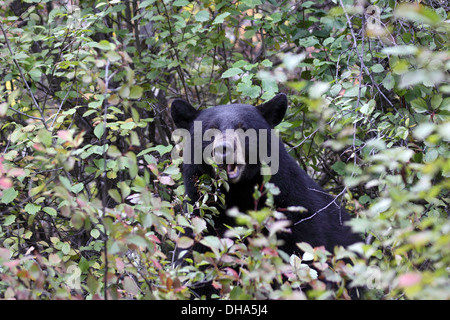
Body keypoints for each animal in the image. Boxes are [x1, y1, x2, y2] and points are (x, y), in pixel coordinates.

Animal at [171, 93, 360, 260]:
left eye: (243, 129)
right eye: (210, 131)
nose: (223, 149)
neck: (238, 193)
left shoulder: (295, 213)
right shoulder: (200, 223)